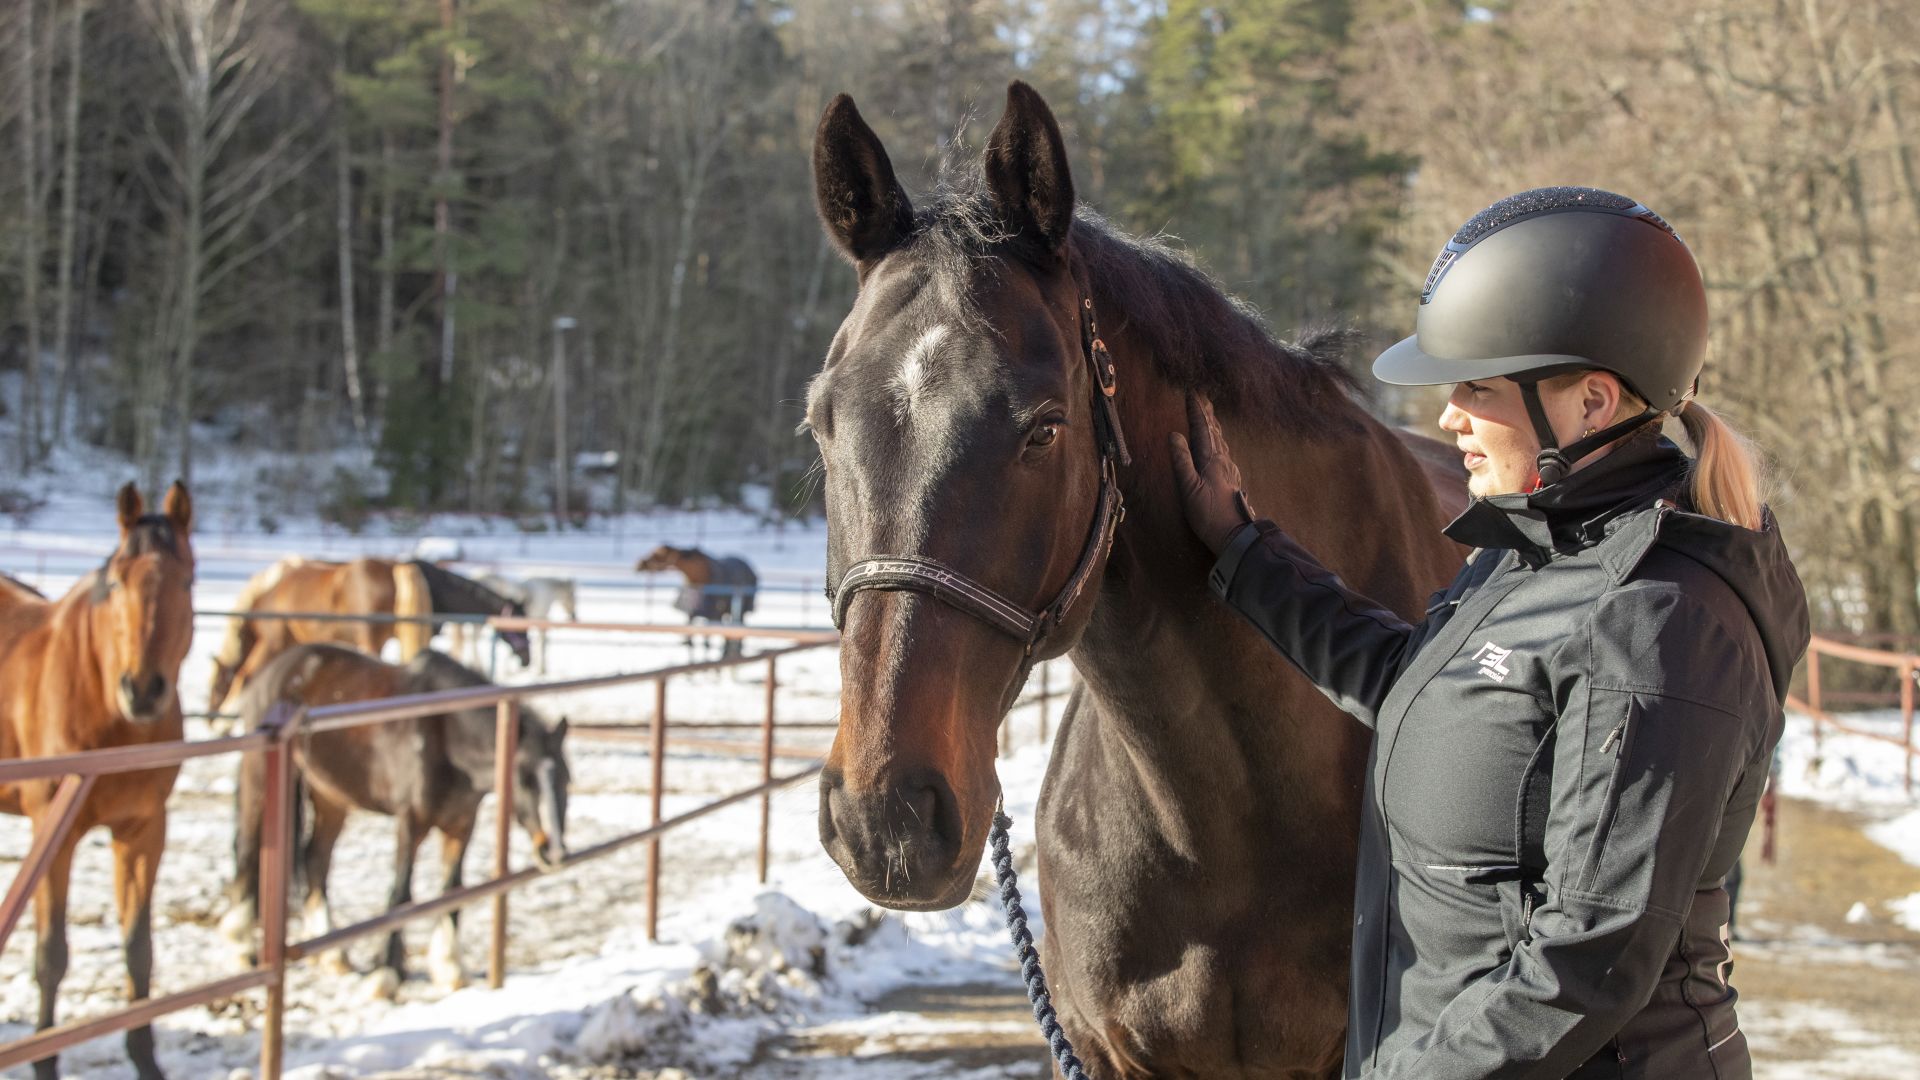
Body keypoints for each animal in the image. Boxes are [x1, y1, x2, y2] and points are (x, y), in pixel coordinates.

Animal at [0, 484, 196, 1076]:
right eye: (118, 582)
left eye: (187, 579)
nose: (143, 690)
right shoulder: (54, 832)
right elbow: (51, 955)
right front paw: (44, 1061)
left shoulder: (142, 830)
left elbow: (139, 950)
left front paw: (146, 1060)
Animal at [223, 641, 564, 991]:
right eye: (524, 780)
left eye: (565, 780)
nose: (553, 851)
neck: (446, 731)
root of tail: (269, 672)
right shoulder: (411, 822)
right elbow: (400, 893)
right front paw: (386, 973)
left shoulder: (461, 823)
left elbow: (452, 890)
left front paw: (450, 968)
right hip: (259, 778)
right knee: (248, 849)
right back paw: (240, 946)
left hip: (330, 796)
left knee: (316, 858)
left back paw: (332, 954)